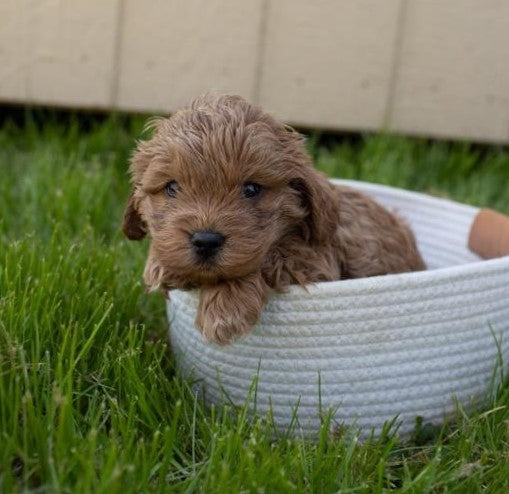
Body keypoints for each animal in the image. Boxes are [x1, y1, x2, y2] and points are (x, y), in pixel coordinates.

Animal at [123, 94, 424, 346]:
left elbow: (269, 258)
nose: (206, 240)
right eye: (172, 187)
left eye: (252, 189)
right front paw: (162, 265)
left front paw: (225, 307)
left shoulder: (316, 262)